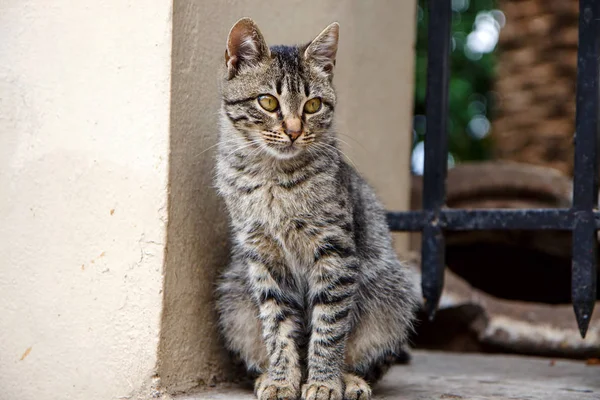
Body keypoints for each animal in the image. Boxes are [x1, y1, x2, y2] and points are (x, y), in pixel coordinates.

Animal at [214, 16, 418, 400]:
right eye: (268, 102)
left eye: (312, 105)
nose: (294, 131)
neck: (273, 178)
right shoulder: (263, 258)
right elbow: (277, 327)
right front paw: (282, 380)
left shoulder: (335, 252)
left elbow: (329, 328)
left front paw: (324, 381)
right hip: (234, 299)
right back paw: (267, 375)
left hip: (394, 291)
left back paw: (350, 379)